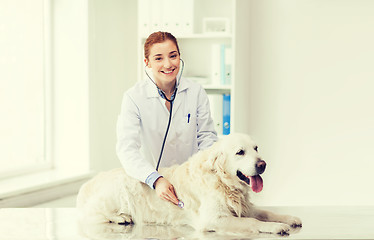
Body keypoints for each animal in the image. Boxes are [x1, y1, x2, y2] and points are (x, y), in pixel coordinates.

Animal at [76, 133, 300, 236]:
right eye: (240, 152)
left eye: (256, 148)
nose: (262, 164)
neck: (223, 182)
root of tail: (90, 182)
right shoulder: (213, 219)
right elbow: (253, 222)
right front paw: (276, 227)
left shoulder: (245, 207)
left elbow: (266, 212)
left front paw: (288, 219)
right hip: (119, 188)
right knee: (93, 214)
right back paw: (121, 217)